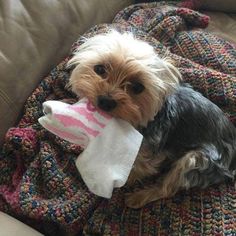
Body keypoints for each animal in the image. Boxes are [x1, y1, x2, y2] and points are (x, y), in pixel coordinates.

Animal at [67, 30, 236, 208]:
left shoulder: (149, 153)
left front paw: (123, 181)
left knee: (169, 187)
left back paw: (139, 197)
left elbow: (139, 168)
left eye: (137, 87)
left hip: (199, 160)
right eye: (99, 69)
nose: (106, 101)